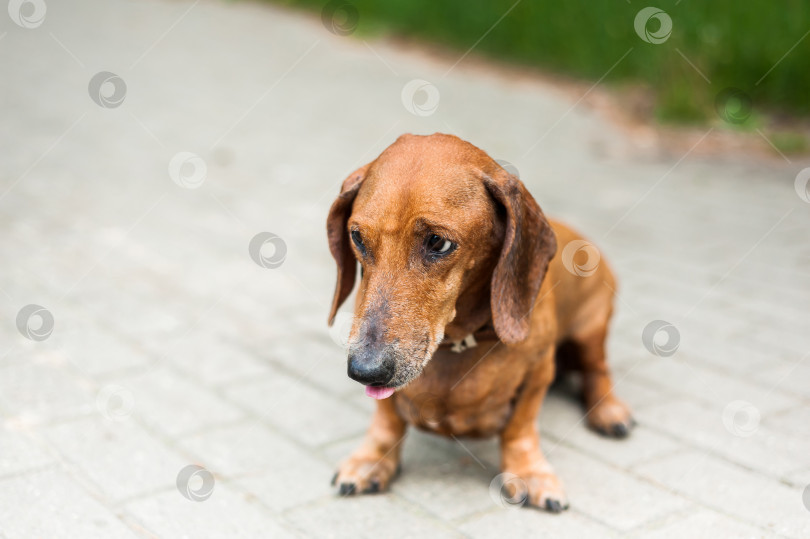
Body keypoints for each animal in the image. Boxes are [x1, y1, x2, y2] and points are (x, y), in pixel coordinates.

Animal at [324, 133, 632, 512]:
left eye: (438, 242)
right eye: (357, 237)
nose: (365, 370)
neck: (458, 340)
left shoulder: (538, 370)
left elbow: (519, 427)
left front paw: (529, 472)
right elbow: (387, 419)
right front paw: (372, 459)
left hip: (591, 328)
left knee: (597, 369)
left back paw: (611, 411)